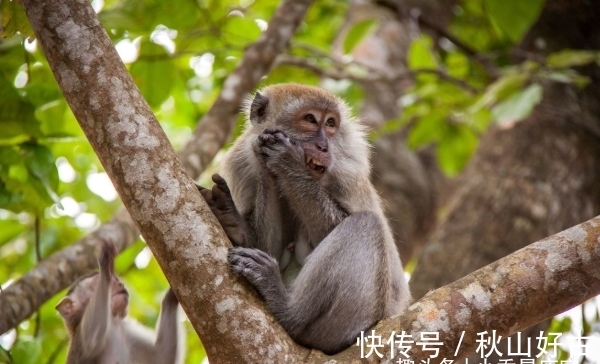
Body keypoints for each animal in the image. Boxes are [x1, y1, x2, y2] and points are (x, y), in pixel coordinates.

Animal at [199, 83, 410, 356]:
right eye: (310, 119)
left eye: (330, 123)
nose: (323, 147)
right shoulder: (241, 162)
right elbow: (267, 247)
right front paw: (234, 221)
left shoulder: (348, 170)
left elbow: (334, 226)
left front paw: (288, 163)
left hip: (356, 323)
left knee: (366, 225)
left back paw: (288, 312)